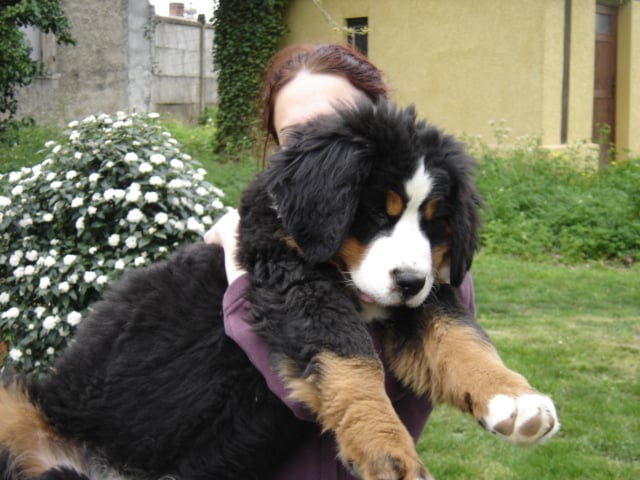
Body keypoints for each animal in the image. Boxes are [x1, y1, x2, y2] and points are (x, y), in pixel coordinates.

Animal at [0, 100, 559, 480]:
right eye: (378, 212)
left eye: (434, 223)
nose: (409, 281)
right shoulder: (292, 282)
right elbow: (352, 360)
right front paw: (390, 450)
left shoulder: (413, 299)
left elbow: (457, 333)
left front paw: (515, 399)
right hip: (18, 401)